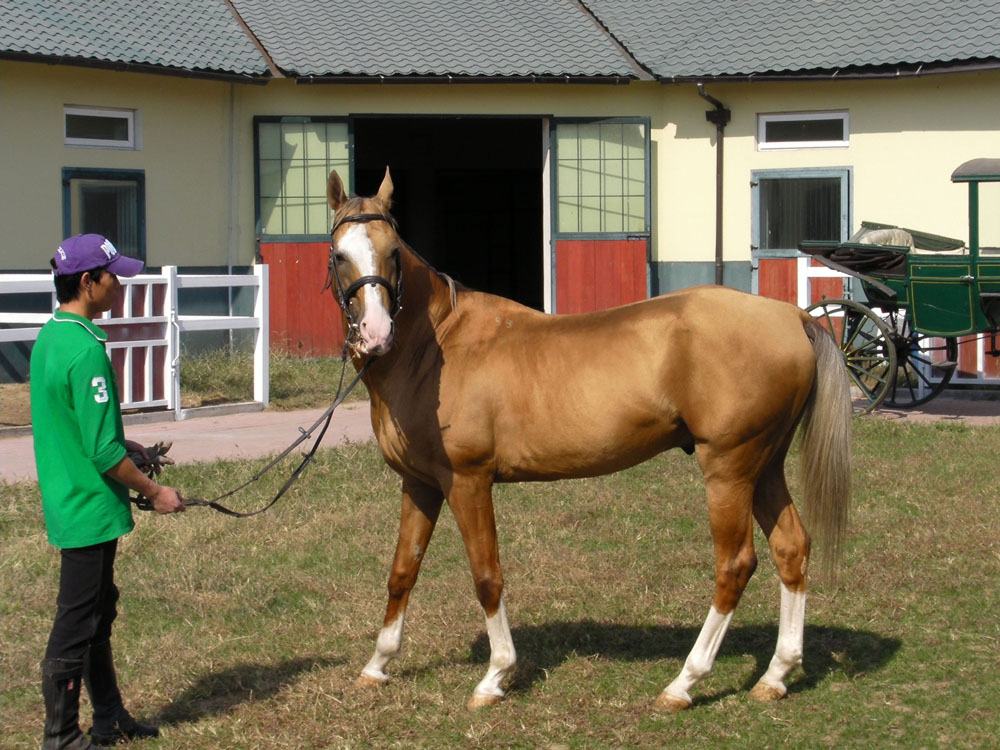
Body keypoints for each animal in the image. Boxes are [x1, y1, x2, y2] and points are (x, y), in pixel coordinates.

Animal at [324, 167, 851, 711]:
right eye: (339, 254)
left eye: (392, 251)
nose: (376, 333)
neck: (437, 348)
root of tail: (792, 317)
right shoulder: (421, 485)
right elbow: (402, 572)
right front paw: (377, 666)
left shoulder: (467, 483)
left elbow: (487, 575)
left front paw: (496, 676)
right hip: (763, 468)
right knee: (791, 548)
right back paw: (777, 674)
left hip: (729, 470)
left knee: (735, 564)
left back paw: (685, 682)